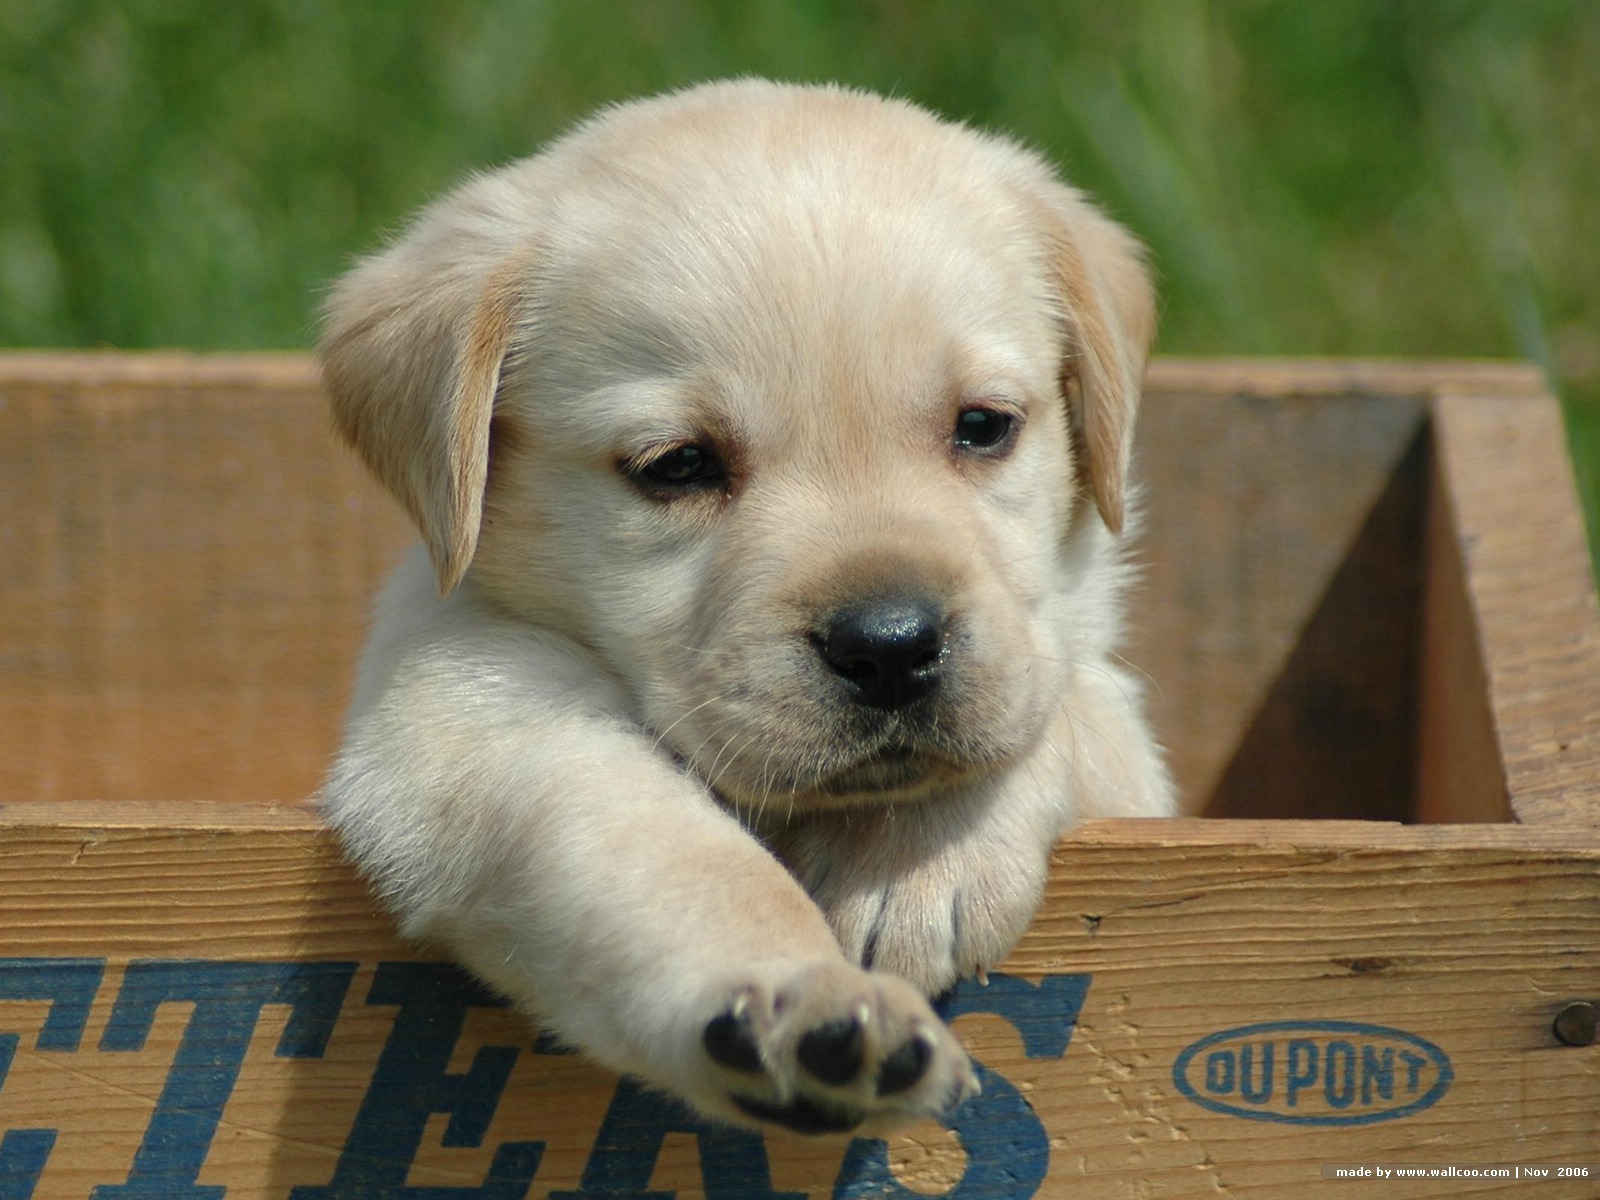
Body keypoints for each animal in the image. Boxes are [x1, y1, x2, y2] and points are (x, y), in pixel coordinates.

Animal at [324, 82, 1177, 1139]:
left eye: (983, 427)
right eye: (678, 465)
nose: (891, 647)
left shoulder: (1113, 739)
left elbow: (1062, 702)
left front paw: (912, 853)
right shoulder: (462, 710)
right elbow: (667, 852)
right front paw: (806, 1001)